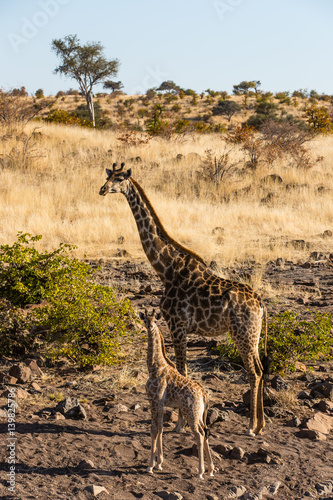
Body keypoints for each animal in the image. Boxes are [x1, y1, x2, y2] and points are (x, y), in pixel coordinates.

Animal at [98, 163, 268, 434]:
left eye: (120, 178)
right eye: (108, 176)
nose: (103, 189)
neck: (166, 269)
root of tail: (261, 305)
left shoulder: (177, 324)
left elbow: (182, 370)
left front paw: (180, 425)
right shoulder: (179, 326)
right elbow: (183, 370)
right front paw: (183, 423)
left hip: (242, 334)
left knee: (254, 373)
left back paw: (251, 426)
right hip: (253, 335)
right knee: (261, 370)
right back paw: (261, 424)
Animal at [139, 308, 214, 480]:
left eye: (155, 320)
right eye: (145, 320)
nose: (150, 326)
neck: (154, 367)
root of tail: (203, 393)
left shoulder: (155, 401)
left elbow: (154, 429)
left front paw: (150, 466)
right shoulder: (156, 403)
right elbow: (159, 428)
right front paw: (159, 463)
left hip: (190, 412)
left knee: (199, 435)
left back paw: (200, 472)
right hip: (199, 413)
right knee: (205, 431)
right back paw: (211, 469)